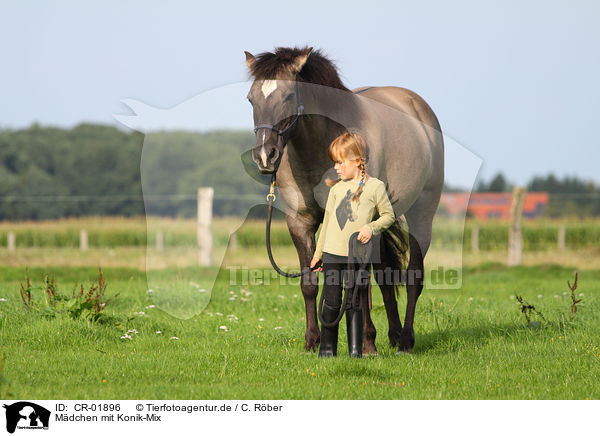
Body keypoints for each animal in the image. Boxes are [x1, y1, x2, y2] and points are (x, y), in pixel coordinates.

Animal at [245, 46, 446, 354]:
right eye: (251, 99)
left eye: (289, 96)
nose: (265, 156)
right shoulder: (300, 223)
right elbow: (311, 283)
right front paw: (313, 341)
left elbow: (358, 285)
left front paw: (366, 344)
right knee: (384, 278)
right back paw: (394, 335)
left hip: (421, 214)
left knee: (413, 278)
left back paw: (405, 341)